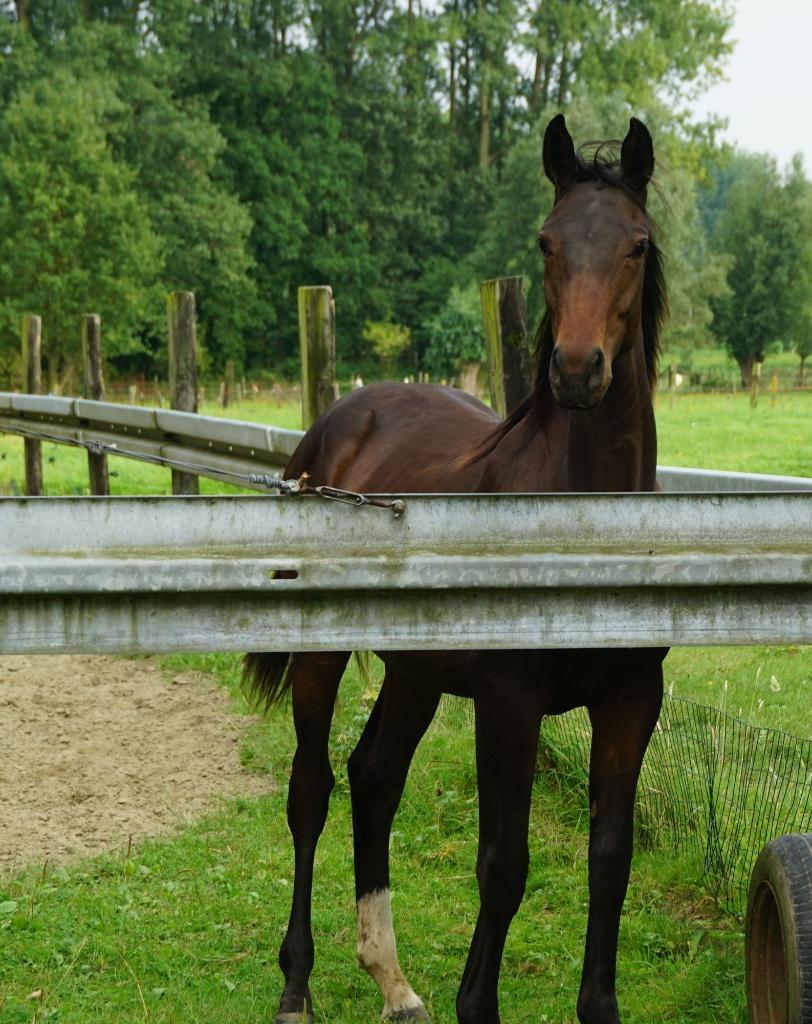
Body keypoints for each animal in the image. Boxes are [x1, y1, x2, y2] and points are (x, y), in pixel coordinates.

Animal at [245, 114, 669, 1024]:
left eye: (638, 245)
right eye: (546, 241)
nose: (577, 370)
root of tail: (335, 424)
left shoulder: (631, 702)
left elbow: (610, 859)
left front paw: (598, 1006)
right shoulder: (509, 702)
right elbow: (503, 864)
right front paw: (480, 1002)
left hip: (416, 672)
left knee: (373, 777)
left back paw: (393, 981)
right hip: (322, 660)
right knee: (311, 790)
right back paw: (297, 983)